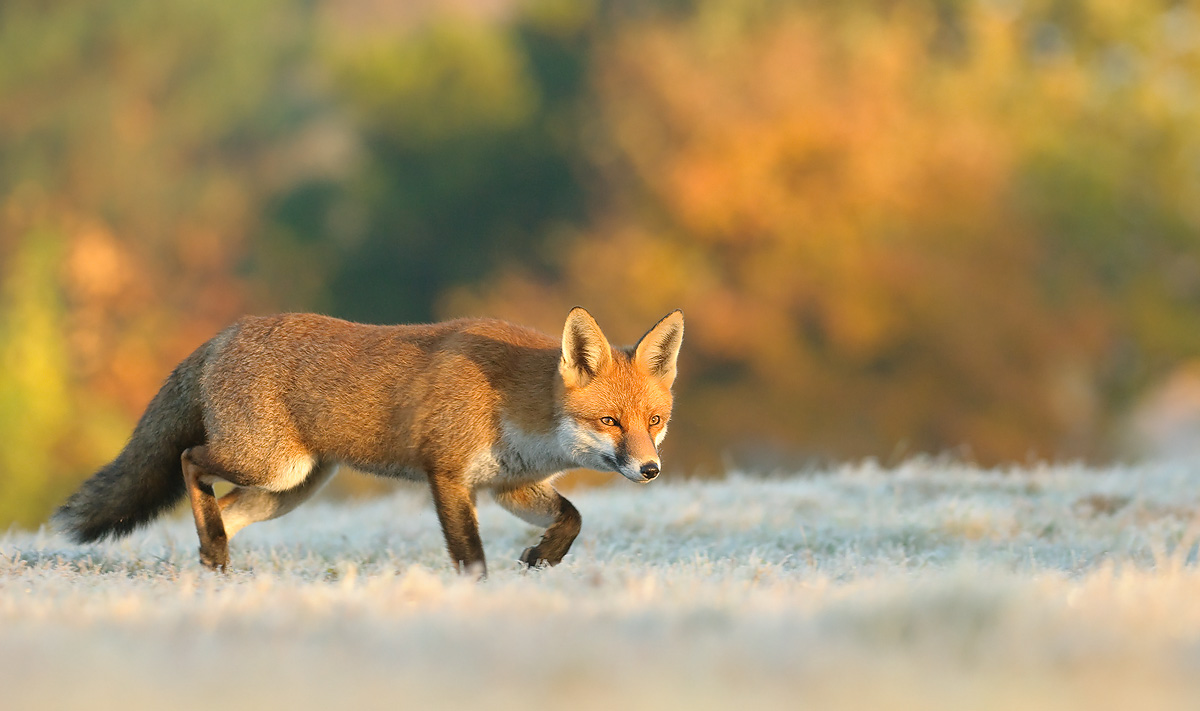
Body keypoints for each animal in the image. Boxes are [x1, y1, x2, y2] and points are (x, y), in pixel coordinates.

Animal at [52, 307, 684, 577]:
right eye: (611, 422)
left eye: (654, 420)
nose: (651, 469)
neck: (516, 402)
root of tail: (226, 332)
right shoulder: (447, 474)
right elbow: (470, 554)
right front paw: (479, 594)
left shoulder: (510, 485)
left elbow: (572, 517)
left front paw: (544, 557)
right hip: (269, 465)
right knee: (188, 460)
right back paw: (213, 555)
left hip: (290, 489)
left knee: (220, 514)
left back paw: (213, 562)